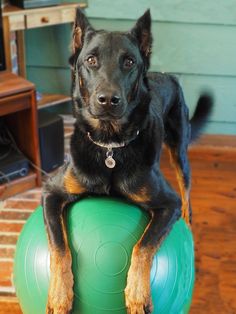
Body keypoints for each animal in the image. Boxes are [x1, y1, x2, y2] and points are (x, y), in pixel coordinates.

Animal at [42, 7, 214, 314]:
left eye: (129, 62)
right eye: (91, 60)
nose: (108, 100)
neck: (110, 145)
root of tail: (166, 75)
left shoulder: (168, 204)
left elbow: (142, 246)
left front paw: (137, 294)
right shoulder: (51, 192)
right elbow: (59, 247)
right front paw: (60, 296)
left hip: (179, 152)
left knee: (186, 191)